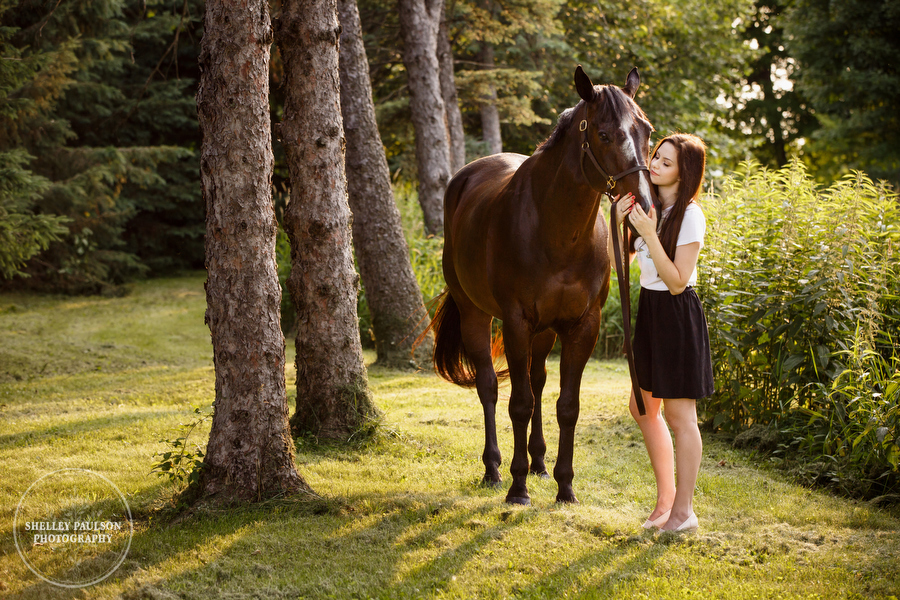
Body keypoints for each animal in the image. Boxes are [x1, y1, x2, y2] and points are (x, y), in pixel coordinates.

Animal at [428, 67, 652, 506]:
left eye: (647, 131)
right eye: (603, 133)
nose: (644, 201)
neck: (558, 232)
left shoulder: (582, 326)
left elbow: (566, 405)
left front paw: (565, 486)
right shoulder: (517, 322)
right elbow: (518, 404)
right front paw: (518, 489)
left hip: (545, 332)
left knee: (536, 381)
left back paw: (540, 464)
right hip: (475, 314)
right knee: (489, 388)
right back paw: (494, 469)